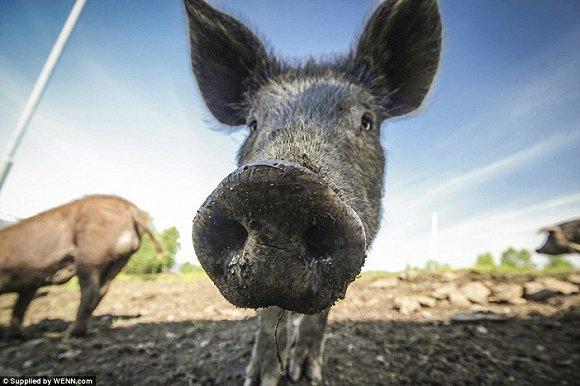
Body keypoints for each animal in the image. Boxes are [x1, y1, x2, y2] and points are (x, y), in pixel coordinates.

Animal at [0, 196, 163, 338]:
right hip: (119, 261)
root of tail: (131, 209)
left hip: (90, 255)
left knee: (90, 291)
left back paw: (66, 335)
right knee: (102, 290)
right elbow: (20, 307)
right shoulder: (30, 284)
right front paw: (19, 336)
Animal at [184, 0, 442, 382]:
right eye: (253, 123)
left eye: (366, 121)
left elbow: (320, 314)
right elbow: (268, 318)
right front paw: (259, 379)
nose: (273, 184)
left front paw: (306, 376)